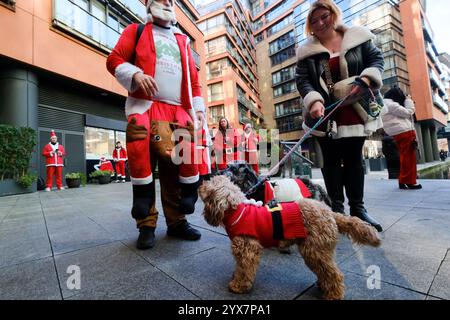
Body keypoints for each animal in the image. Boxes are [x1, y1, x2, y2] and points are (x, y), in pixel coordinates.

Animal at [199, 175, 382, 300]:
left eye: (210, 184)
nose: (200, 184)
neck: (235, 210)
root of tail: (330, 213)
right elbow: (239, 268)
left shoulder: (247, 250)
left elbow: (244, 270)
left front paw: (238, 286)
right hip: (319, 251)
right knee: (327, 271)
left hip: (314, 250)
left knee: (334, 274)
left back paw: (333, 294)